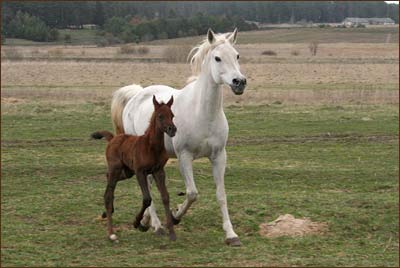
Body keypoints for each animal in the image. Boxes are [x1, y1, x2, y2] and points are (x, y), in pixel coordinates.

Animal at [93, 95, 177, 242]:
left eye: (172, 115)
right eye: (160, 116)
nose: (172, 129)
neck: (151, 146)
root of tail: (113, 139)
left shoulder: (158, 171)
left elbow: (165, 197)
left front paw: (172, 233)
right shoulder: (140, 171)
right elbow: (147, 199)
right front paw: (137, 223)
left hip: (127, 172)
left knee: (108, 179)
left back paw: (106, 213)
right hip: (117, 168)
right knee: (109, 192)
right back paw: (111, 233)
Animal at [110, 28, 247, 246]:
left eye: (237, 55)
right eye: (217, 58)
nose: (239, 82)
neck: (203, 113)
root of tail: (136, 94)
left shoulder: (219, 156)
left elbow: (221, 195)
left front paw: (231, 234)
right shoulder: (185, 156)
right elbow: (192, 193)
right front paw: (174, 217)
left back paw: (147, 221)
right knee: (146, 186)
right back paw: (157, 226)